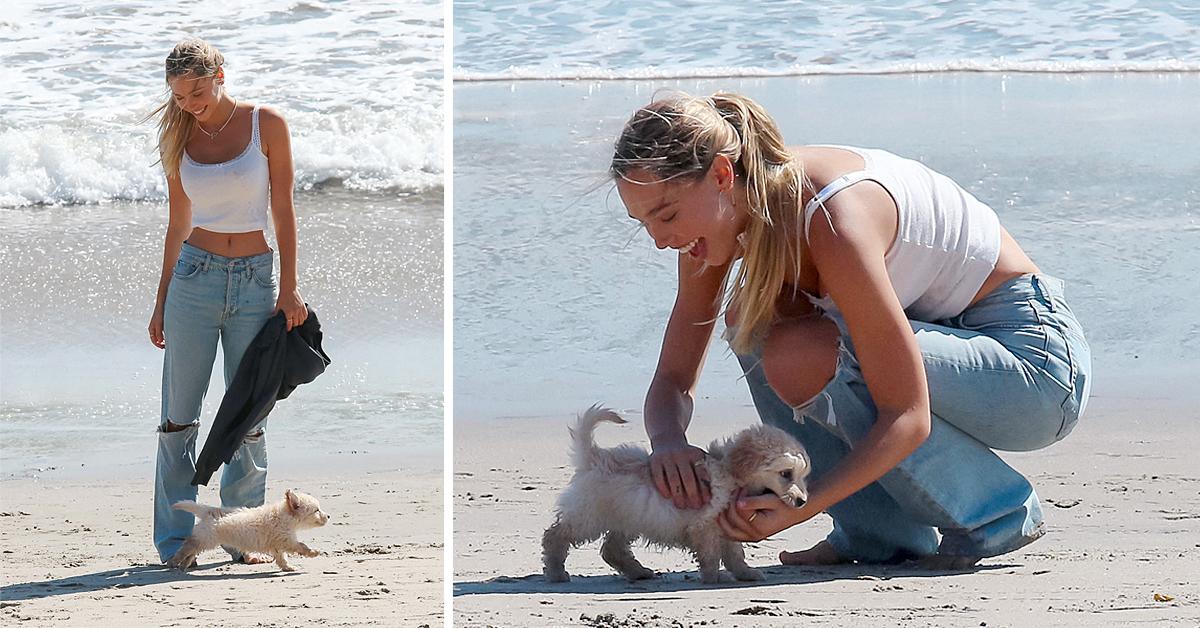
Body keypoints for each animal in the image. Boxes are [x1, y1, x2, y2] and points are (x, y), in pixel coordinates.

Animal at [165, 489, 328, 571]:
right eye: (316, 510)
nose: (328, 516)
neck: (285, 515)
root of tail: (209, 511)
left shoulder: (277, 544)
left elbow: (282, 557)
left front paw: (287, 567)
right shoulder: (286, 540)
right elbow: (301, 546)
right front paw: (313, 552)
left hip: (203, 539)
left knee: (191, 551)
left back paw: (185, 565)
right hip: (205, 539)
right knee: (186, 548)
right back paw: (174, 562)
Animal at [542, 408, 806, 585]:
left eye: (801, 475)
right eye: (786, 473)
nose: (802, 501)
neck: (728, 470)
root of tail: (594, 457)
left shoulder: (726, 526)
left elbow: (734, 553)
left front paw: (745, 573)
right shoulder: (704, 526)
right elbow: (711, 554)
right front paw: (714, 577)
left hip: (628, 519)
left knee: (612, 549)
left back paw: (638, 572)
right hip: (588, 515)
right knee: (556, 536)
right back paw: (556, 572)